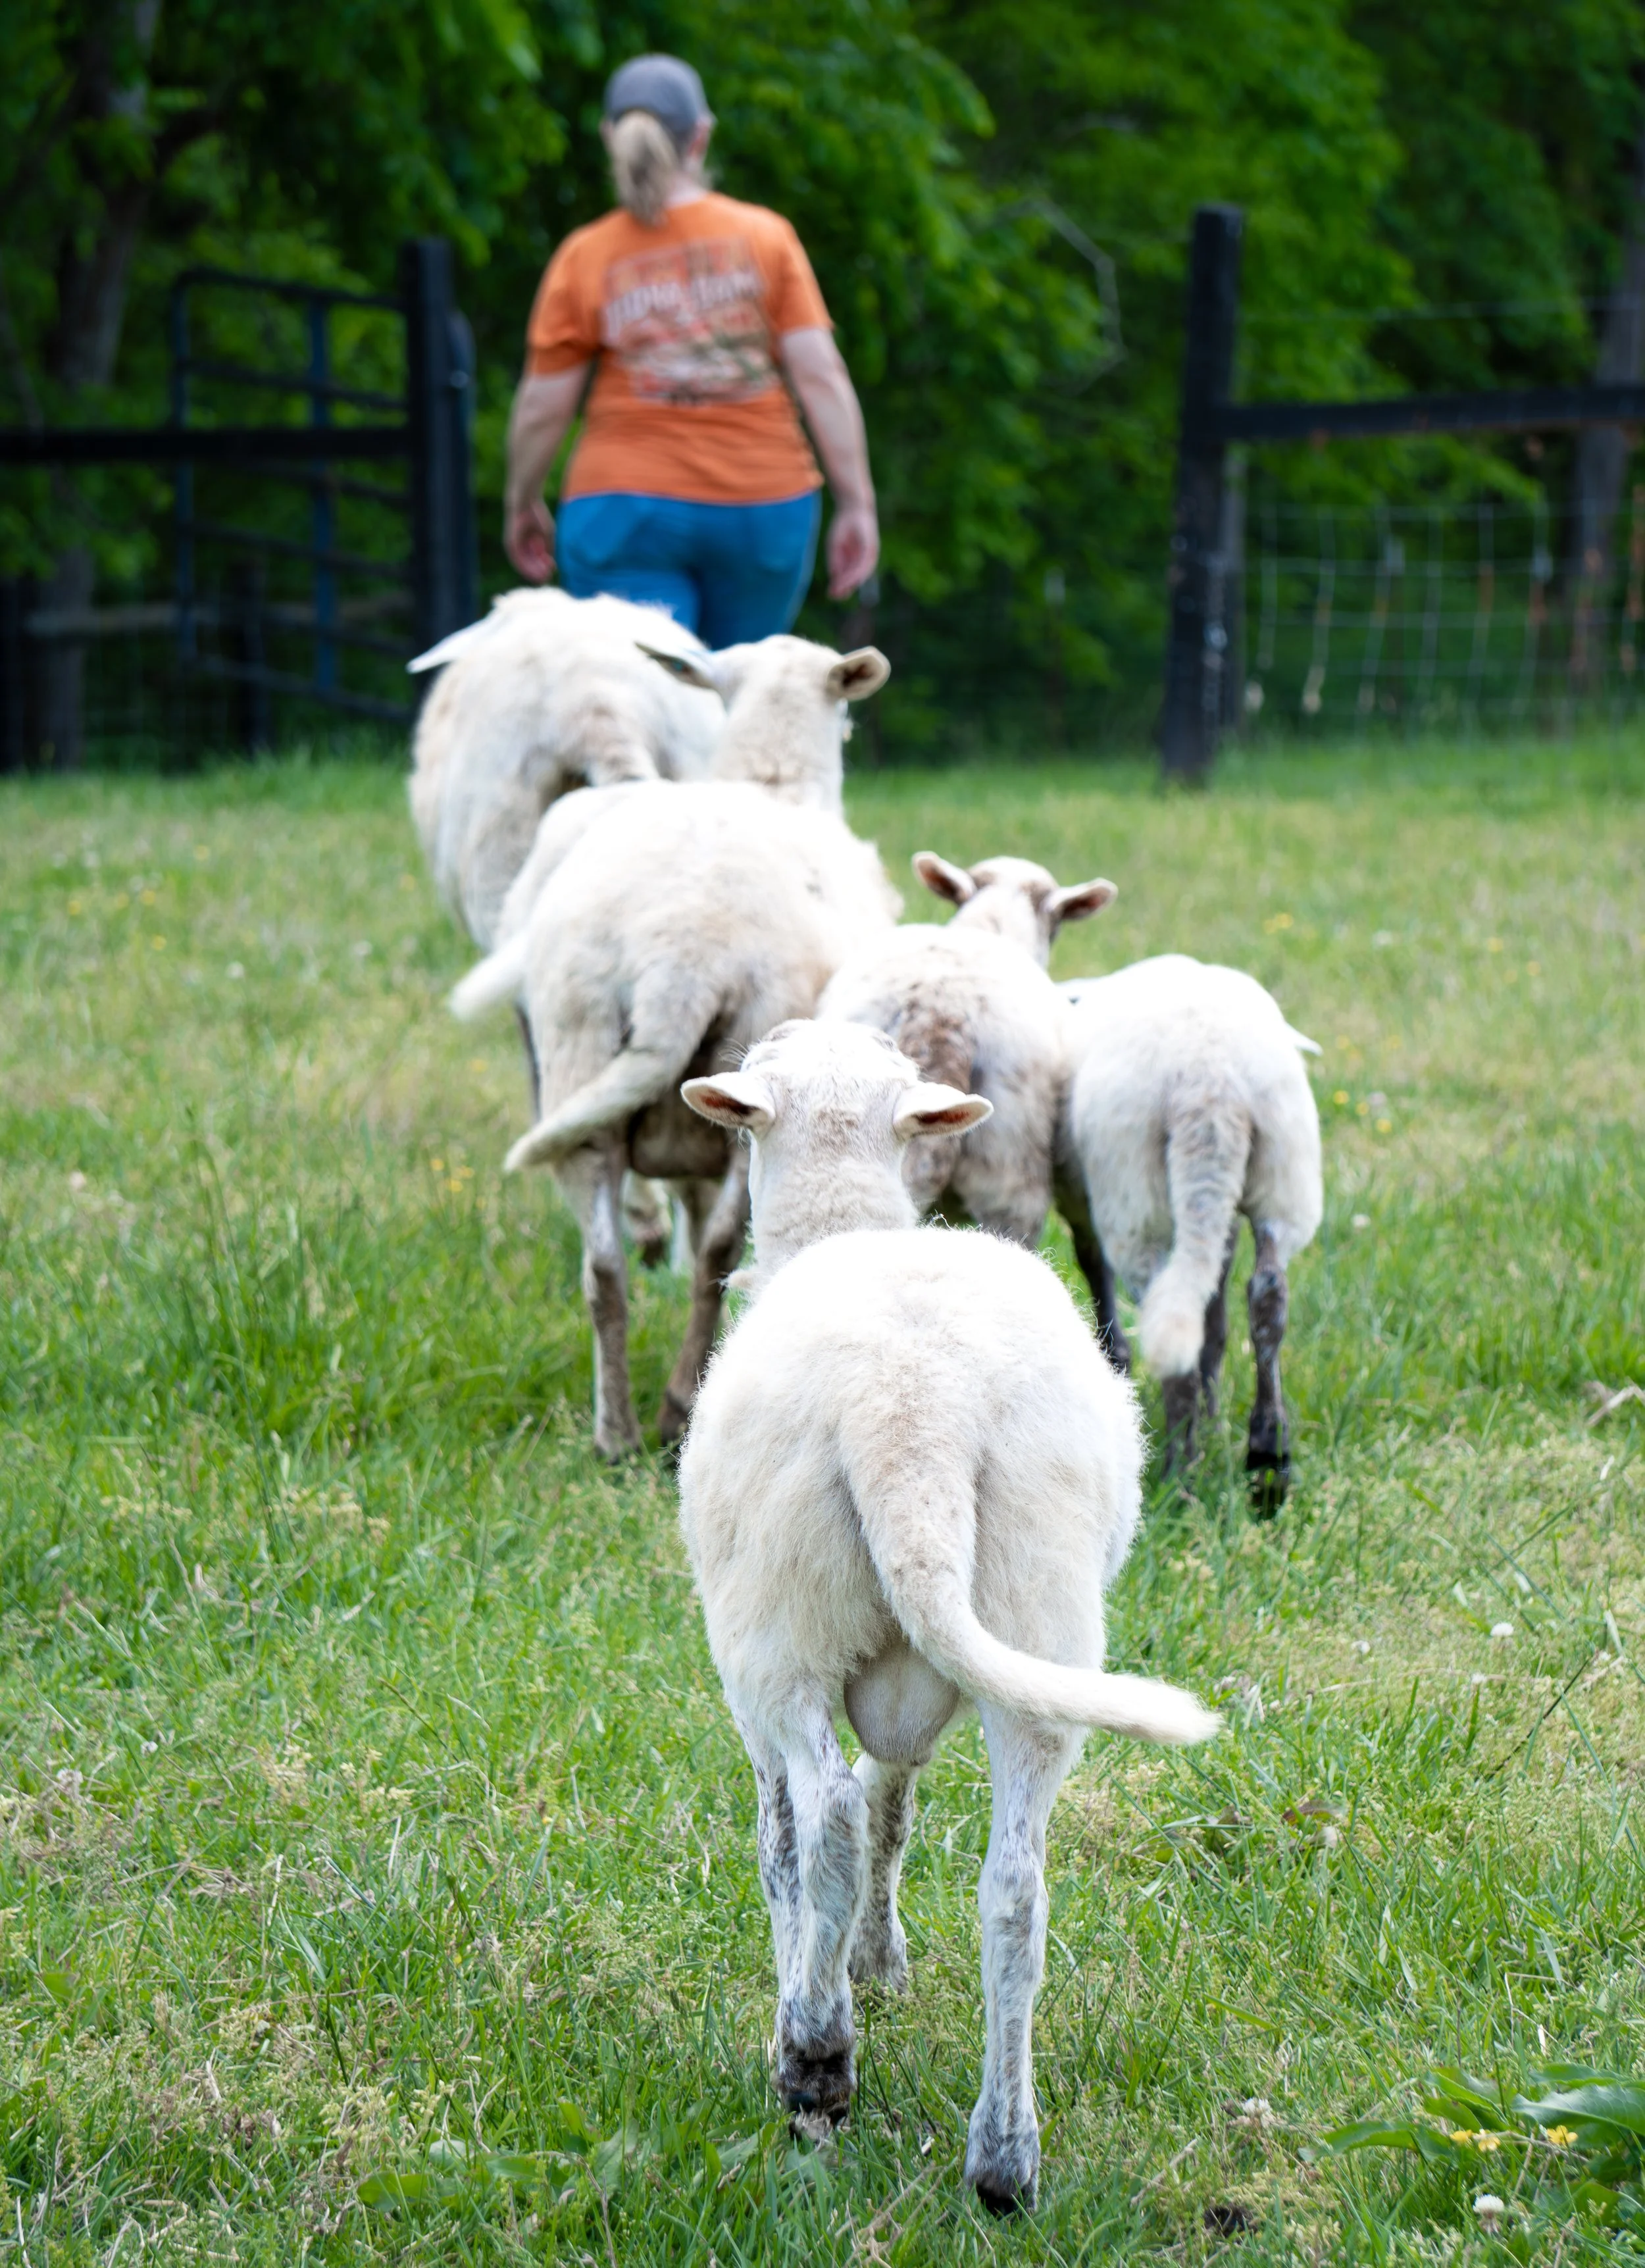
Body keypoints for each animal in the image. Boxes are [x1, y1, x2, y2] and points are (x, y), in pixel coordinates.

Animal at [451, 785, 901, 1456]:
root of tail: (681, 958)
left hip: (582, 1054)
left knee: (605, 1270)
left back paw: (617, 1433)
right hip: (747, 1096)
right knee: (716, 1254)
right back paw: (677, 1404)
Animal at [676, 1017, 1219, 2212]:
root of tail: (911, 1414)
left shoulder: (755, 1690)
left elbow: (792, 1843)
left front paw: (823, 1988)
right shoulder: (910, 1689)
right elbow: (897, 1803)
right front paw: (877, 1960)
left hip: (776, 1627)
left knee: (822, 1816)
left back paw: (815, 2058)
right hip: (1040, 1617)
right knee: (1013, 1891)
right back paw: (1004, 2157)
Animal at [1057, 956, 1323, 1505]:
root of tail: (1210, 1085)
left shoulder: (1084, 1200)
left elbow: (1096, 1270)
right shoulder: (1218, 1221)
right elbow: (1215, 1319)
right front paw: (1215, 1413)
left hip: (1136, 1195)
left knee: (1166, 1306)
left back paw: (1179, 1476)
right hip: (1283, 1174)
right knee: (1268, 1295)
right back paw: (1269, 1459)